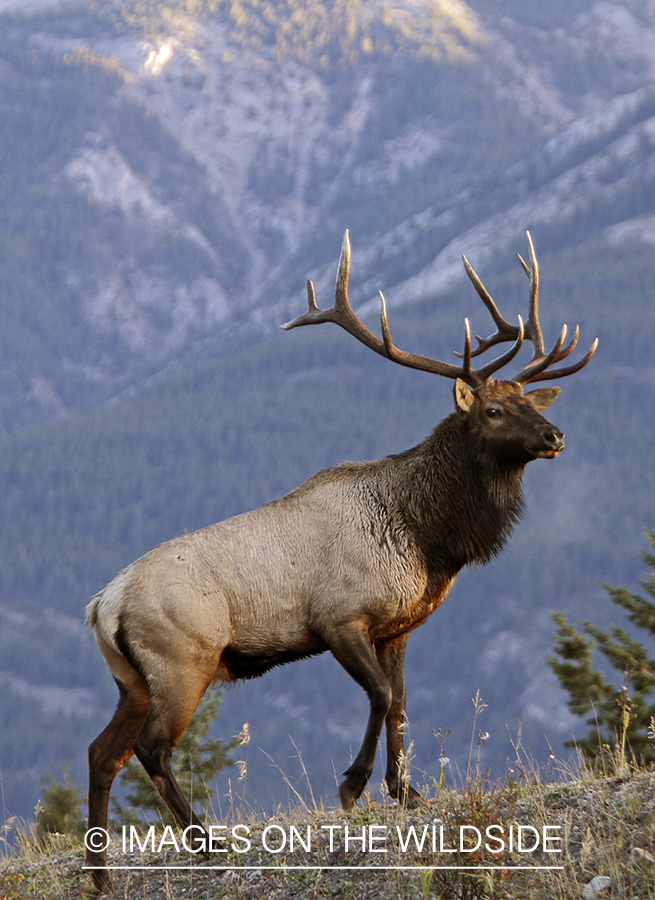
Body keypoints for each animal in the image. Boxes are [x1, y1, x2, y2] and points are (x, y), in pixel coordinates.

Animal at [85, 231, 596, 891]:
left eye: (528, 401)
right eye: (492, 411)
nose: (555, 435)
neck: (427, 538)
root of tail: (103, 604)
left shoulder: (398, 626)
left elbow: (400, 702)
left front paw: (407, 792)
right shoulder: (338, 619)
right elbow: (378, 696)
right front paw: (353, 786)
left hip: (132, 679)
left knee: (102, 752)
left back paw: (100, 874)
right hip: (182, 662)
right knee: (150, 748)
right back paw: (204, 842)